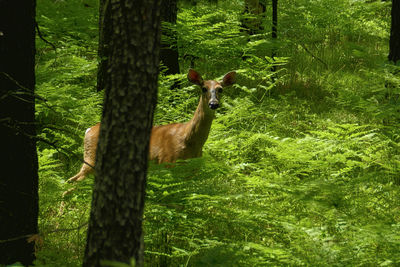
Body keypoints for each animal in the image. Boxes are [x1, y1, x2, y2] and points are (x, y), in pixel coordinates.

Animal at [67, 68, 236, 184]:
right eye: (203, 88)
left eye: (220, 89)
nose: (213, 103)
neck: (189, 141)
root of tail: (88, 130)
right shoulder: (167, 162)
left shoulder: (192, 171)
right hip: (91, 158)